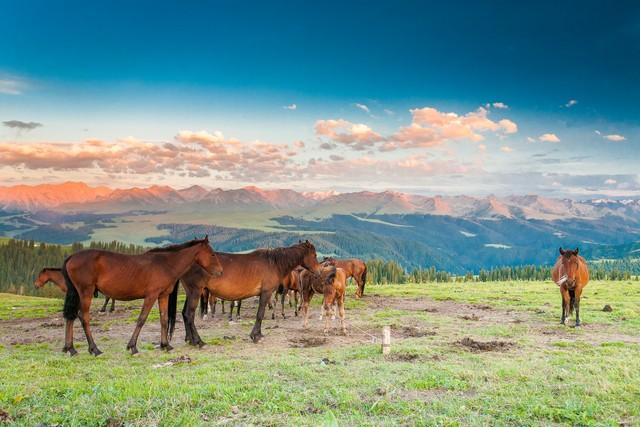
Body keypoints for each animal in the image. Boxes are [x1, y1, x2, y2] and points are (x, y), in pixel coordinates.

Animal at [62, 237, 222, 358]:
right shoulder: (151, 296)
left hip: (78, 294)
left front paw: (165, 345)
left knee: (71, 317)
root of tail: (71, 257)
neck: (165, 264)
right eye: (212, 254)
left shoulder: (163, 296)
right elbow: (141, 320)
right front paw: (133, 346)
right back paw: (94, 349)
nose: (220, 271)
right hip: (86, 293)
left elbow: (164, 320)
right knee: (83, 317)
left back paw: (71, 348)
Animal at [179, 241, 320, 344]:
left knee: (185, 314)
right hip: (195, 292)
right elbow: (260, 314)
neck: (274, 263)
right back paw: (197, 341)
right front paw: (256, 336)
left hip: (190, 293)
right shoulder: (266, 293)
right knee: (189, 315)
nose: (318, 272)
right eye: (314, 255)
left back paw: (189, 339)